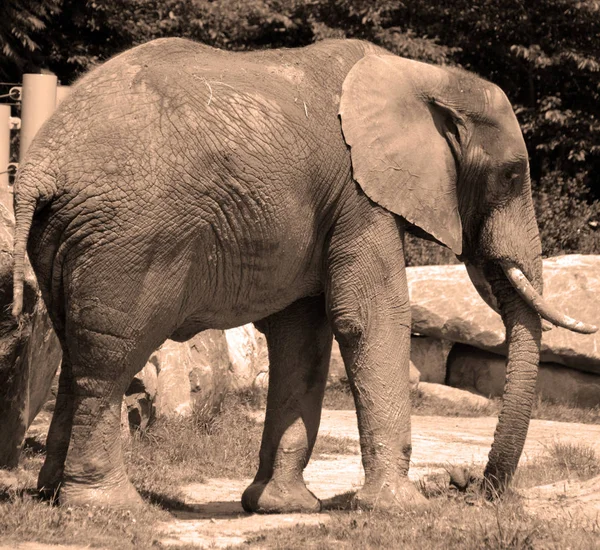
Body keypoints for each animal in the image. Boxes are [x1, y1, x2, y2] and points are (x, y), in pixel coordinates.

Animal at [9, 37, 596, 512]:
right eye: (513, 174)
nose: (473, 489)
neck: (423, 75)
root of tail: (41, 162)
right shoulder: (360, 196)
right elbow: (369, 319)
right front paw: (401, 509)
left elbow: (304, 338)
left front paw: (281, 507)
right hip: (130, 236)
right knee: (110, 358)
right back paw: (109, 506)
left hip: (68, 236)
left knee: (72, 349)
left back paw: (50, 495)